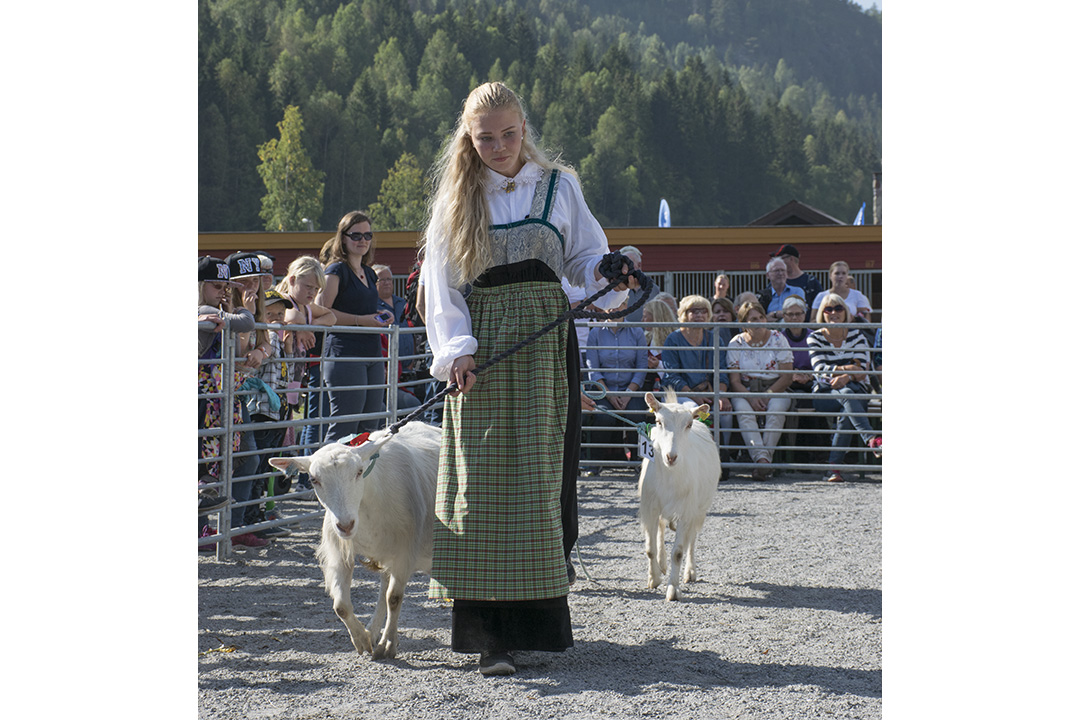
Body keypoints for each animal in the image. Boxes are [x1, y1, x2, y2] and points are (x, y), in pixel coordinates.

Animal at [268, 422, 441, 659]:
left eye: (359, 472)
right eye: (313, 479)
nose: (346, 525)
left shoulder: (404, 551)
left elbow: (394, 598)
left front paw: (388, 644)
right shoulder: (339, 552)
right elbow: (341, 605)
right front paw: (361, 639)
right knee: (383, 587)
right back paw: (373, 631)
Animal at [638, 389, 722, 601]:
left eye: (688, 424)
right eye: (658, 421)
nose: (671, 457)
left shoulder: (686, 512)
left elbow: (678, 552)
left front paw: (673, 589)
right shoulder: (649, 508)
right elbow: (650, 549)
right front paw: (654, 578)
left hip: (699, 510)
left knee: (692, 539)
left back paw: (690, 572)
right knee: (661, 528)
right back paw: (662, 564)